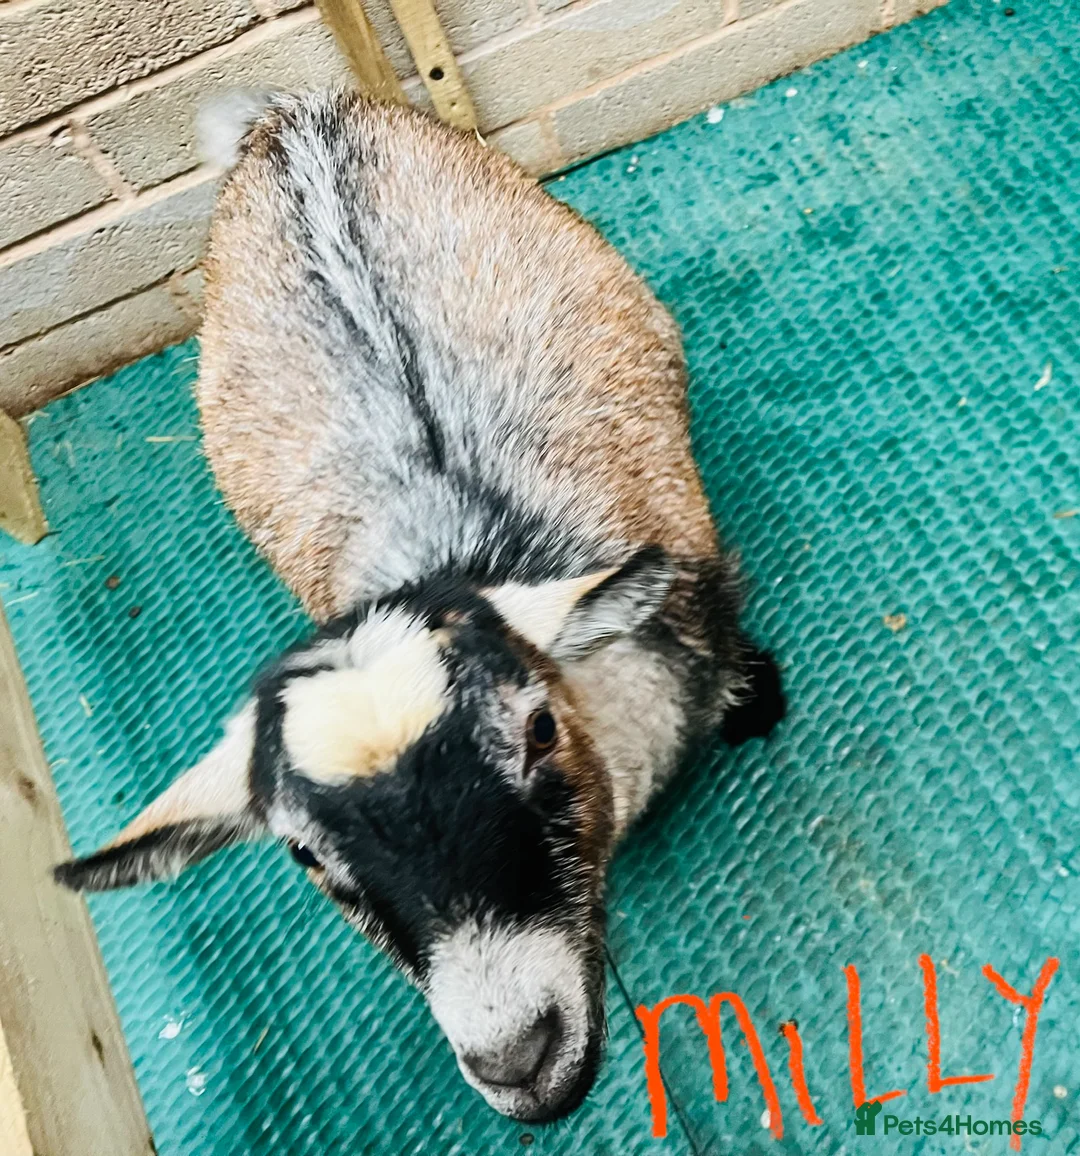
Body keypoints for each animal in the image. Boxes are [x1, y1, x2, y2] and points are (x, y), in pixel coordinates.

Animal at [55, 91, 785, 1123]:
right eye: (305, 858)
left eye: (539, 731)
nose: (518, 1057)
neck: (465, 545)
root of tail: (289, 120)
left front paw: (753, 702)